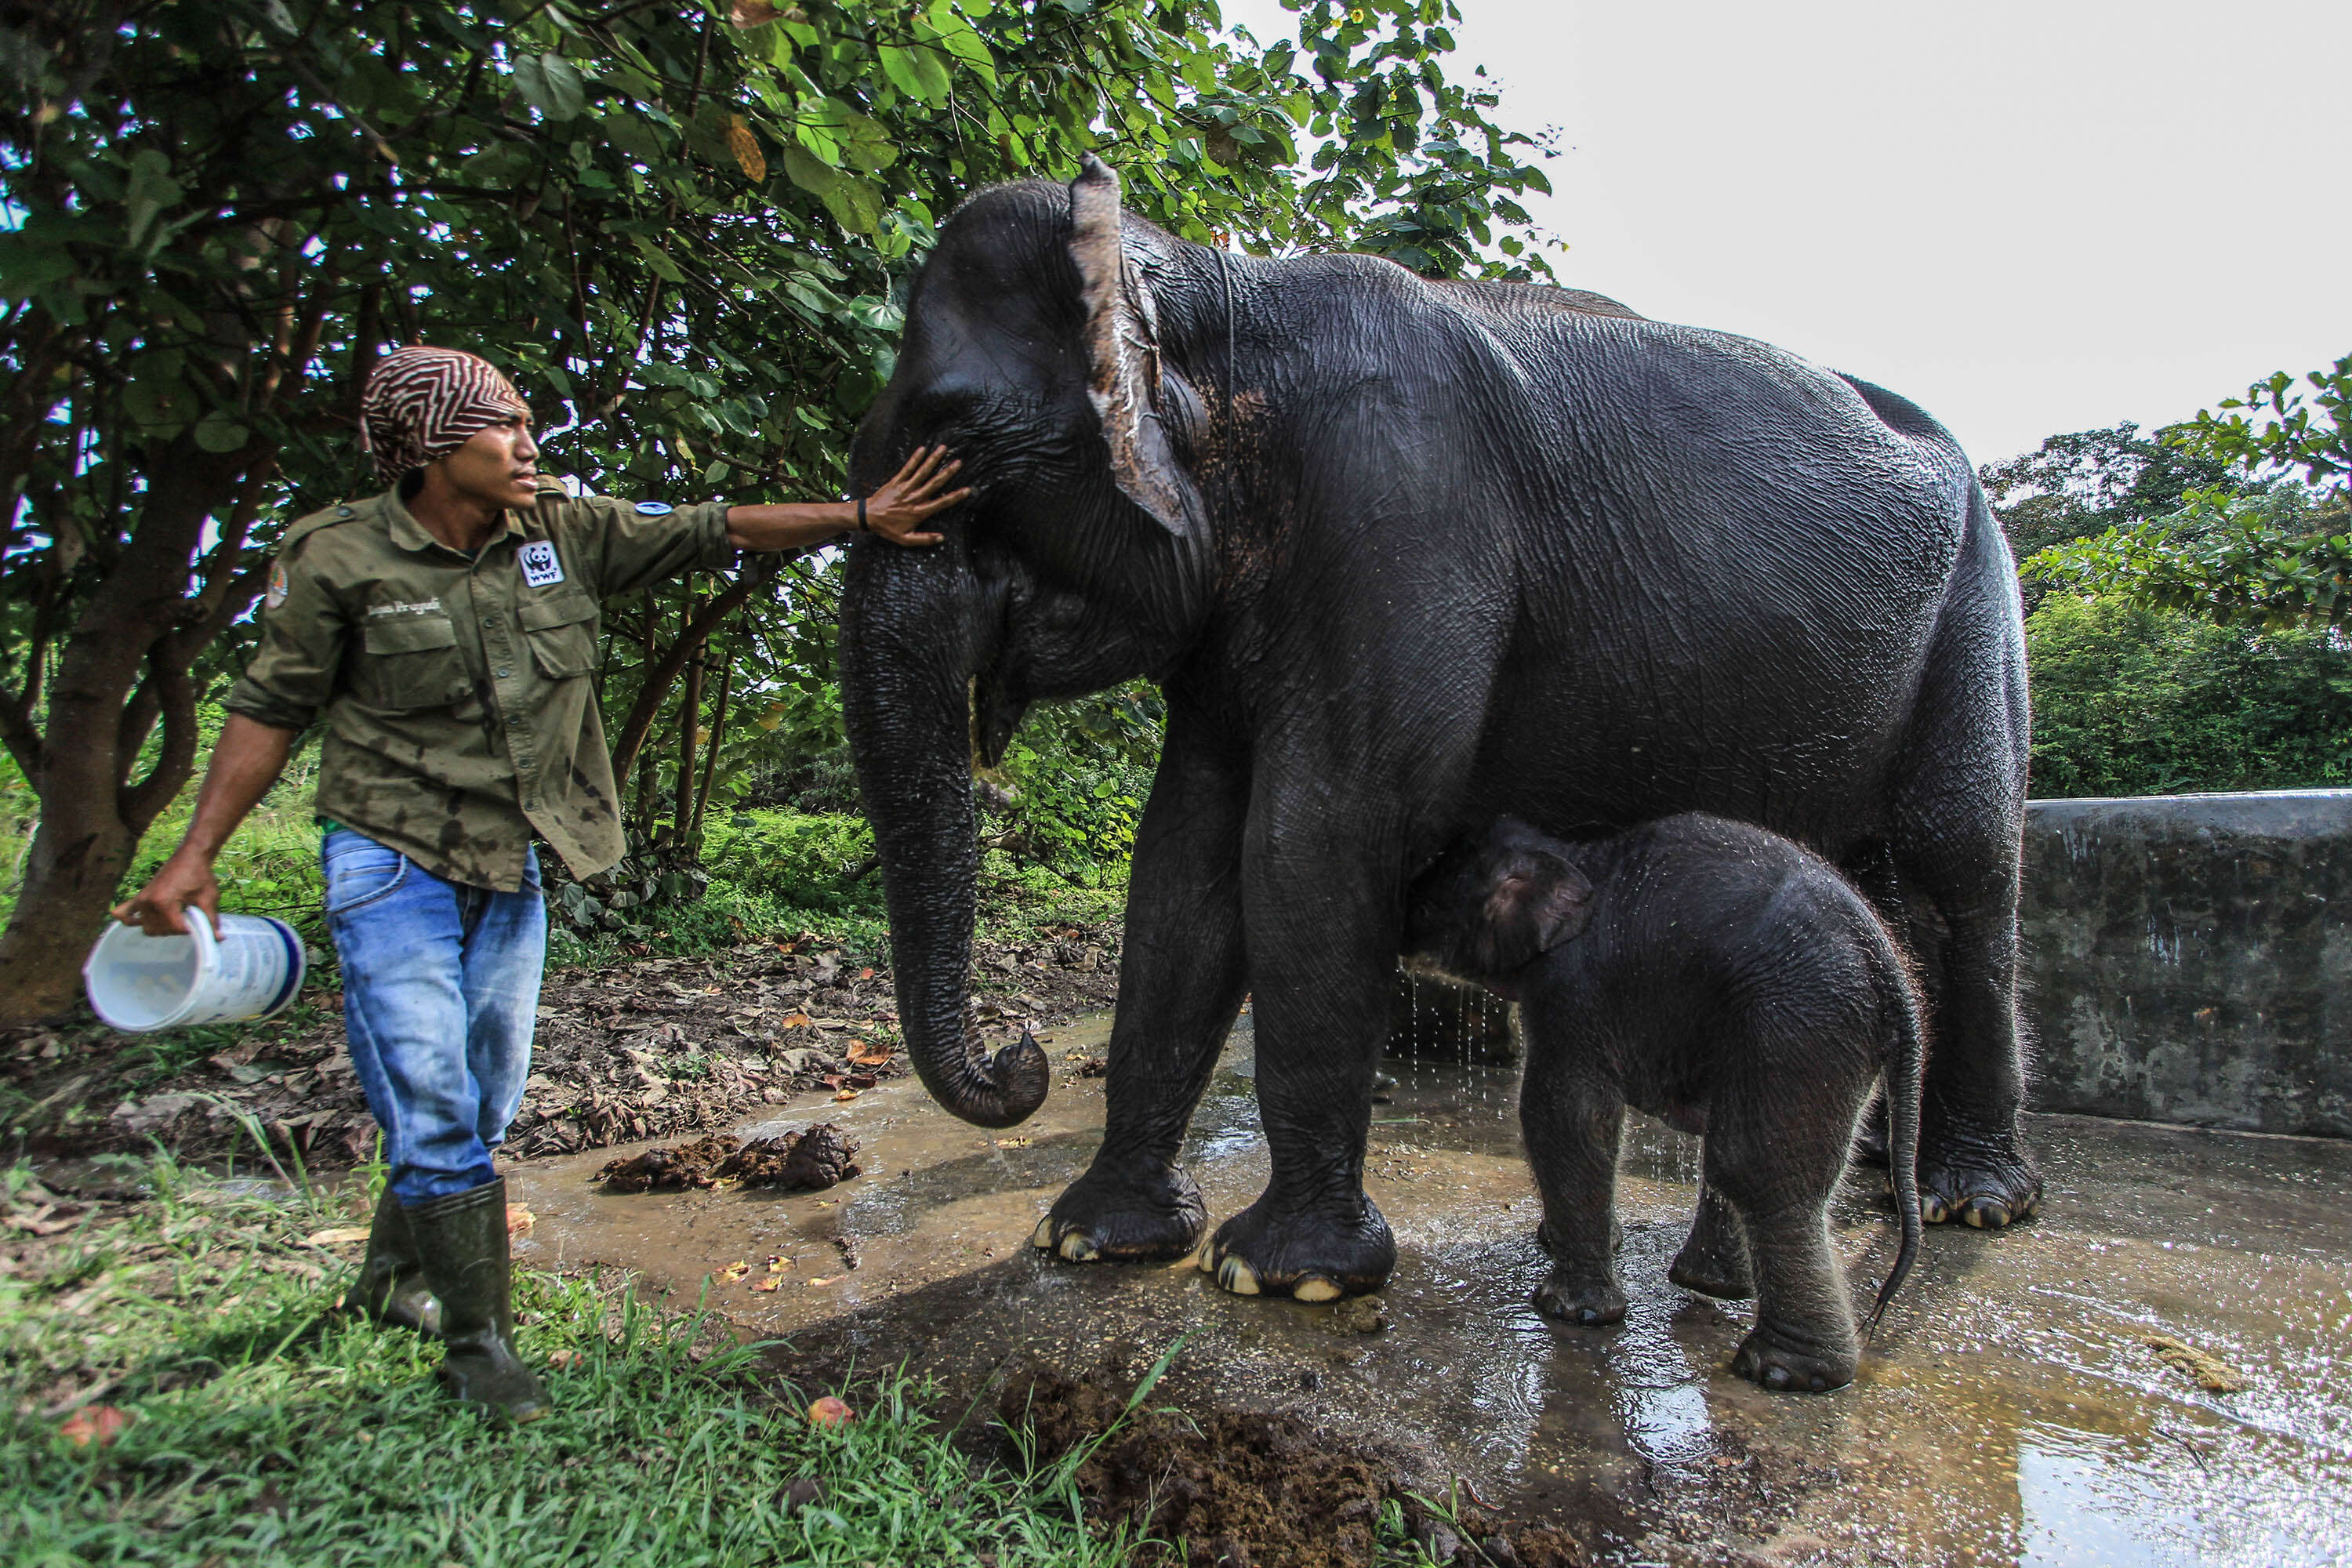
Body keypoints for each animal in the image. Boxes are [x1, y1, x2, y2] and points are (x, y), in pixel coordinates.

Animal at [837, 159, 2032, 1298]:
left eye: (950, 431)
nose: (1023, 1056)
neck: (1220, 289)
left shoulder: (1400, 508)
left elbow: (1318, 834)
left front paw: (1279, 1274)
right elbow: (1185, 857)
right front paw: (1092, 1241)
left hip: (1982, 603)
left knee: (1962, 868)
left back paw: (1974, 1201)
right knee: (1869, 872)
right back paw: (1873, 1166)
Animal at [1402, 818, 1919, 1392]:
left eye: (1424, 907)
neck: (1567, 854)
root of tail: (1895, 977)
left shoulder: (1572, 986)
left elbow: (1565, 1113)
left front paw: (1571, 1312)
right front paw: (1575, 1245)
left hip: (1799, 1026)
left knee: (1751, 1169)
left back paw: (1782, 1371)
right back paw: (1710, 1285)